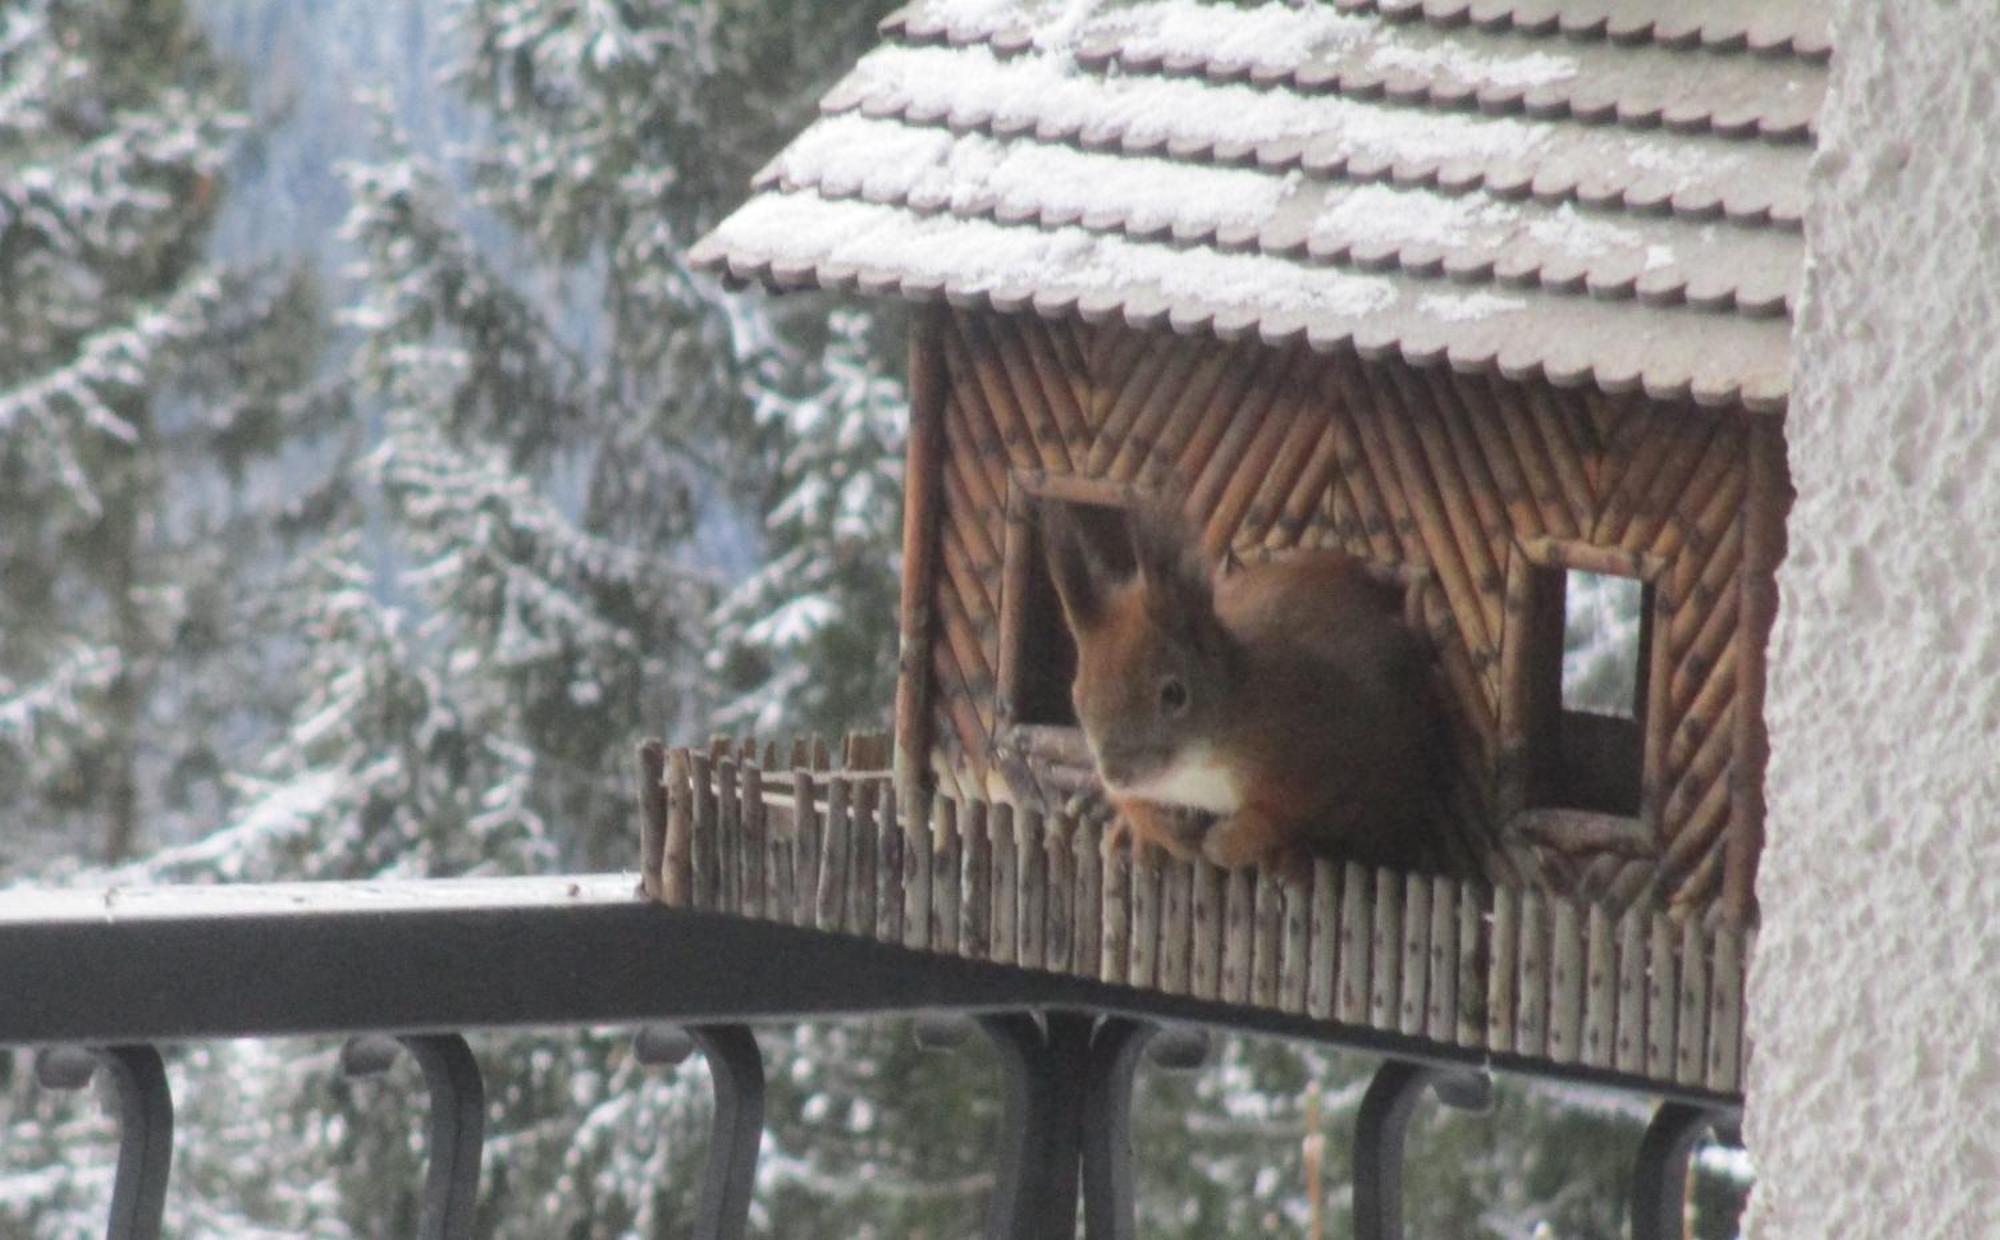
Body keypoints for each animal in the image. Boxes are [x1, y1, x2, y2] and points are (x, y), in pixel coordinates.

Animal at [1040, 498, 1448, 876]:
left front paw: (1231, 840)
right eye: (1077, 697)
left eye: (1174, 694)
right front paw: (1154, 828)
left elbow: (1283, 816)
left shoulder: (1320, 751)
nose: (1116, 773)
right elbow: (1134, 803)